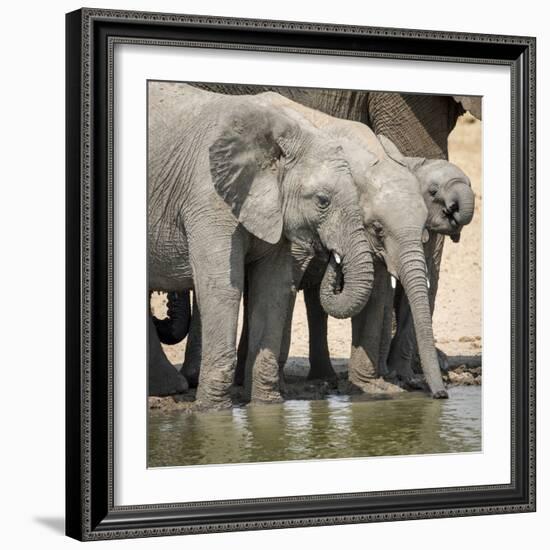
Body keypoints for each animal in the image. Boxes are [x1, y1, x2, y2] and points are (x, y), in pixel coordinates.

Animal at [149, 82, 378, 410]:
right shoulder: (208, 197)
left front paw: (266, 407)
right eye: (322, 201)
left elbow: (273, 289)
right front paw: (212, 413)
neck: (285, 133)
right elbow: (222, 288)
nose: (332, 256)